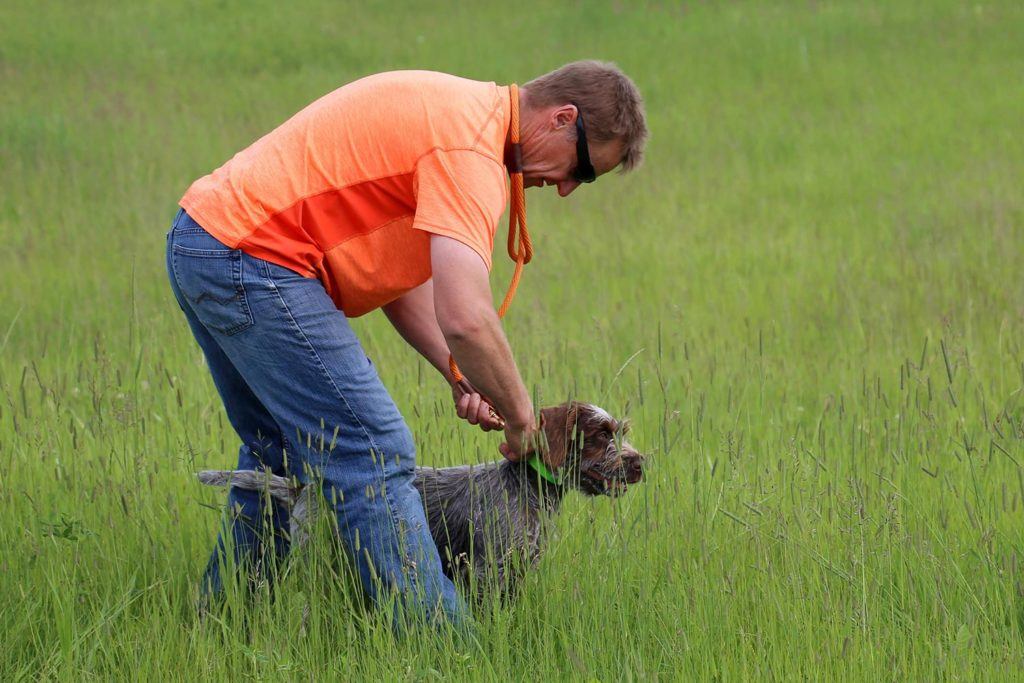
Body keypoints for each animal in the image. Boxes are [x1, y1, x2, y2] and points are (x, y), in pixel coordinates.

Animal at [196, 401, 643, 598]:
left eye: (620, 432)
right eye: (601, 435)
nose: (639, 463)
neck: (528, 487)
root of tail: (305, 487)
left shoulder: (517, 570)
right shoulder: (488, 572)